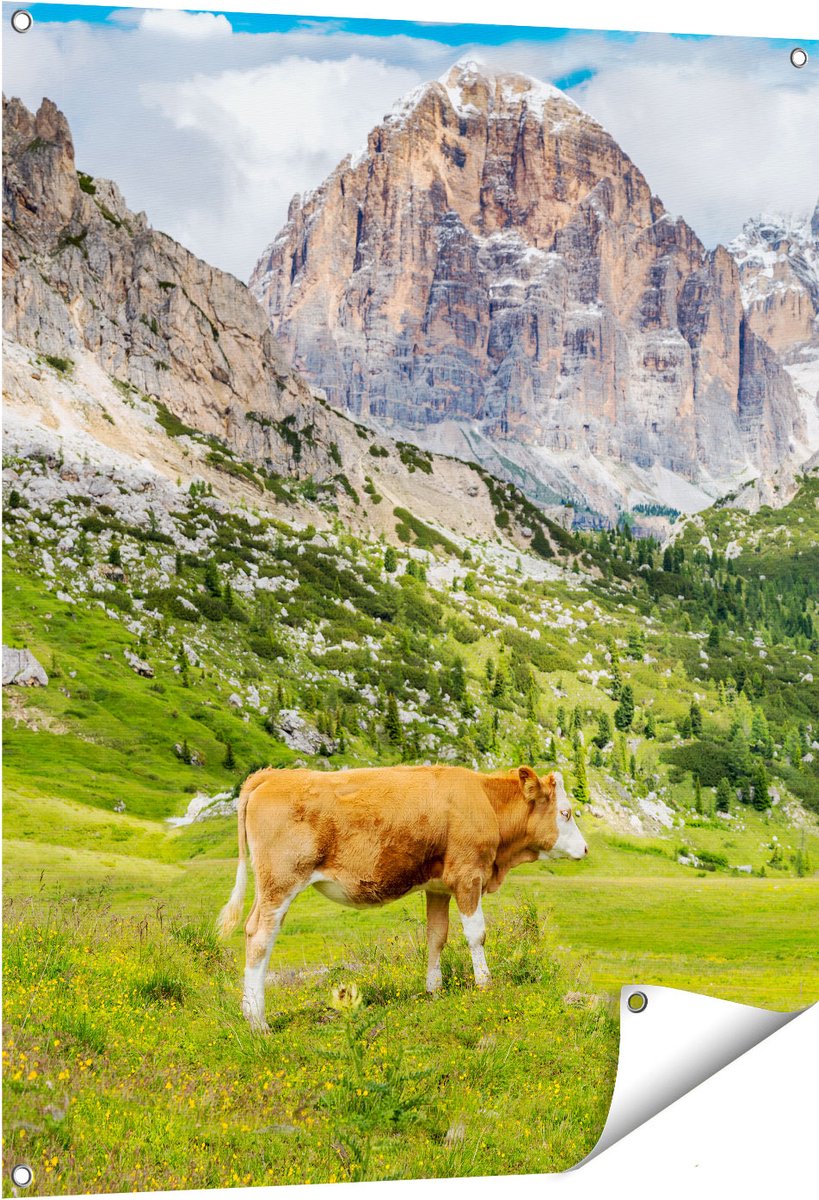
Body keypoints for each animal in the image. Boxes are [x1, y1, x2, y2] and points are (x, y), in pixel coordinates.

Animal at [217, 763, 588, 1030]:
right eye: (566, 812)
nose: (585, 848)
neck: (485, 802)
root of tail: (271, 776)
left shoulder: (438, 886)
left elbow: (437, 936)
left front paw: (434, 989)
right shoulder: (468, 875)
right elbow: (476, 934)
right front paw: (485, 984)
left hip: (268, 886)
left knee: (251, 930)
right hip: (281, 881)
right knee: (260, 937)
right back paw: (258, 1021)